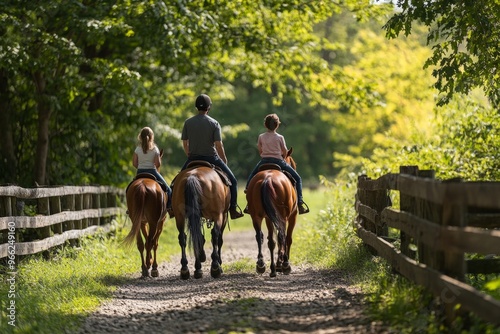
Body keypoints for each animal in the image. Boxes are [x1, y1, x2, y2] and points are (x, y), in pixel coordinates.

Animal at [245, 148, 296, 276]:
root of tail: (267, 179)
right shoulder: (293, 216)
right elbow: (288, 238)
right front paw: (281, 263)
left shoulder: (269, 218)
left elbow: (272, 240)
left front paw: (276, 265)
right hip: (283, 216)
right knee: (282, 236)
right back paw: (285, 265)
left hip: (256, 216)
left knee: (261, 237)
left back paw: (262, 265)